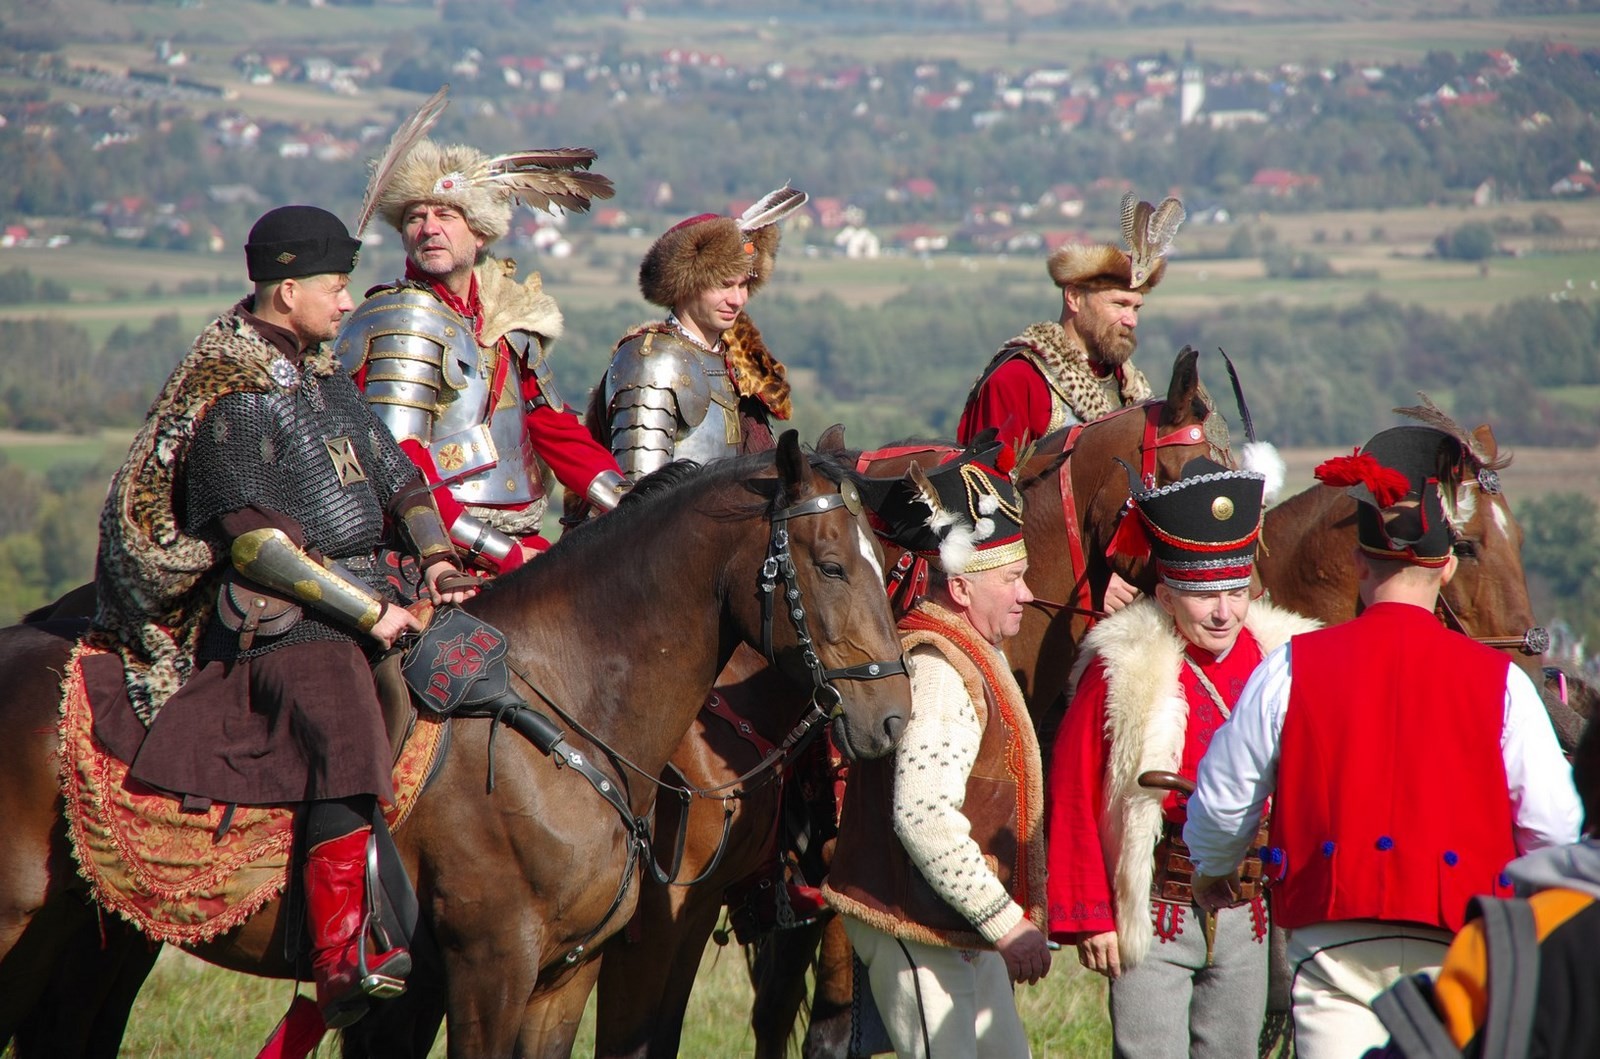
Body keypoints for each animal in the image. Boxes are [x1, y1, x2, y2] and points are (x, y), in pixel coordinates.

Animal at [0, 435, 915, 1059]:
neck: (562, 710)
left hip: (101, 939)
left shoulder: (564, 976)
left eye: (884, 561)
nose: (893, 717)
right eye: (831, 565)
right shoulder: (493, 970)